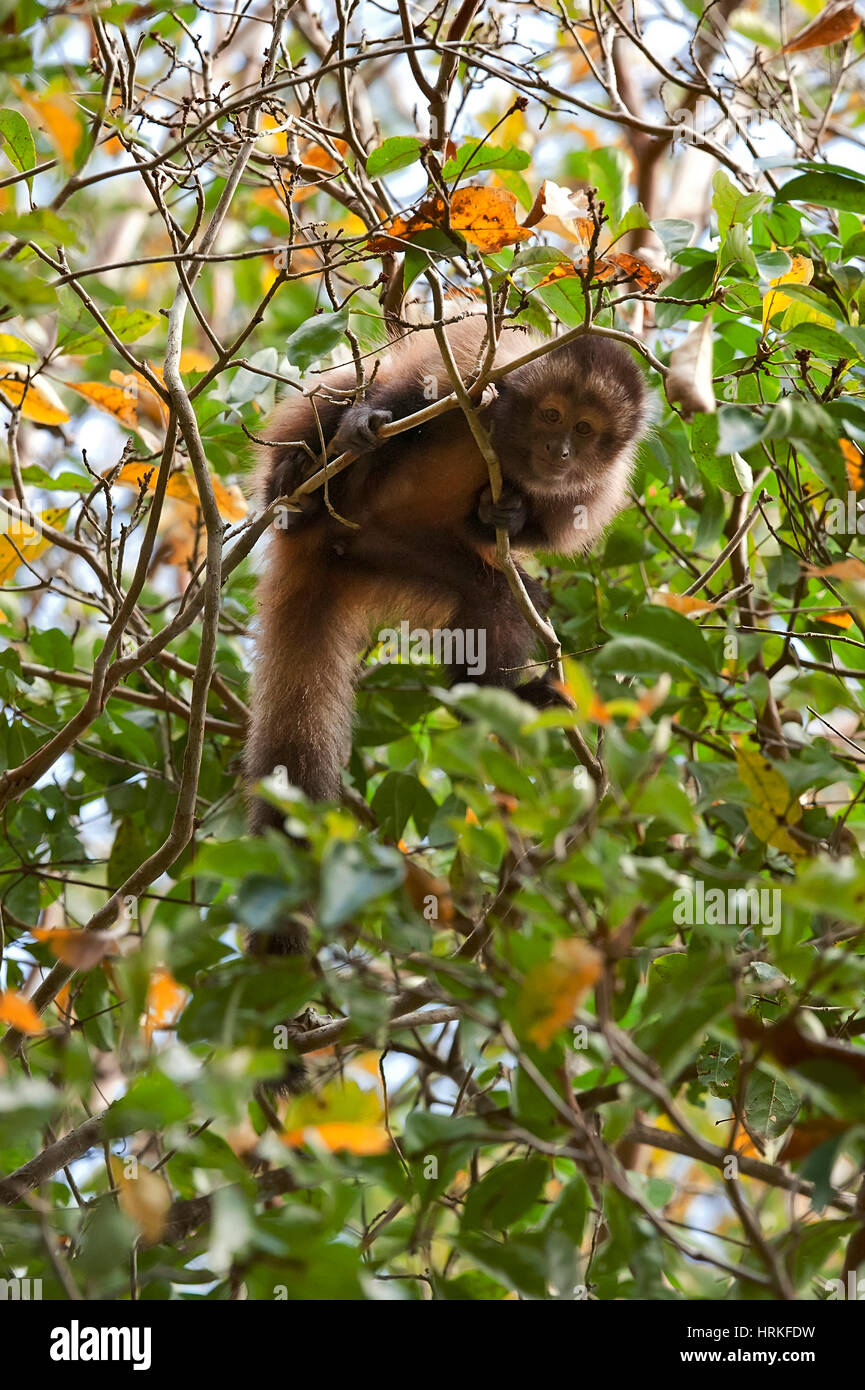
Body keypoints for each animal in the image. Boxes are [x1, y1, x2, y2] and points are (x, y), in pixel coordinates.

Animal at [244, 321, 650, 961]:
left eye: (585, 431)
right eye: (552, 415)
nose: (561, 453)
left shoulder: (593, 486)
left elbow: (550, 529)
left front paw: (506, 516)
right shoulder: (472, 366)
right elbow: (401, 388)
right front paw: (363, 420)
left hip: (390, 552)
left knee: (495, 599)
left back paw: (493, 696)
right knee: (330, 407)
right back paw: (298, 484)